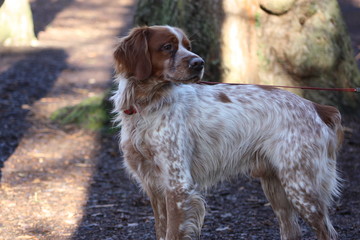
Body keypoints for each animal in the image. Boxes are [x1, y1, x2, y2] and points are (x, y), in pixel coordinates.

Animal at [112, 25, 344, 239]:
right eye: (167, 47)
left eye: (188, 46)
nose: (199, 63)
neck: (147, 105)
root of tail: (316, 107)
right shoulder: (154, 186)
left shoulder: (177, 184)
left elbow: (172, 232)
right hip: (276, 186)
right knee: (292, 231)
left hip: (301, 185)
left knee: (328, 232)